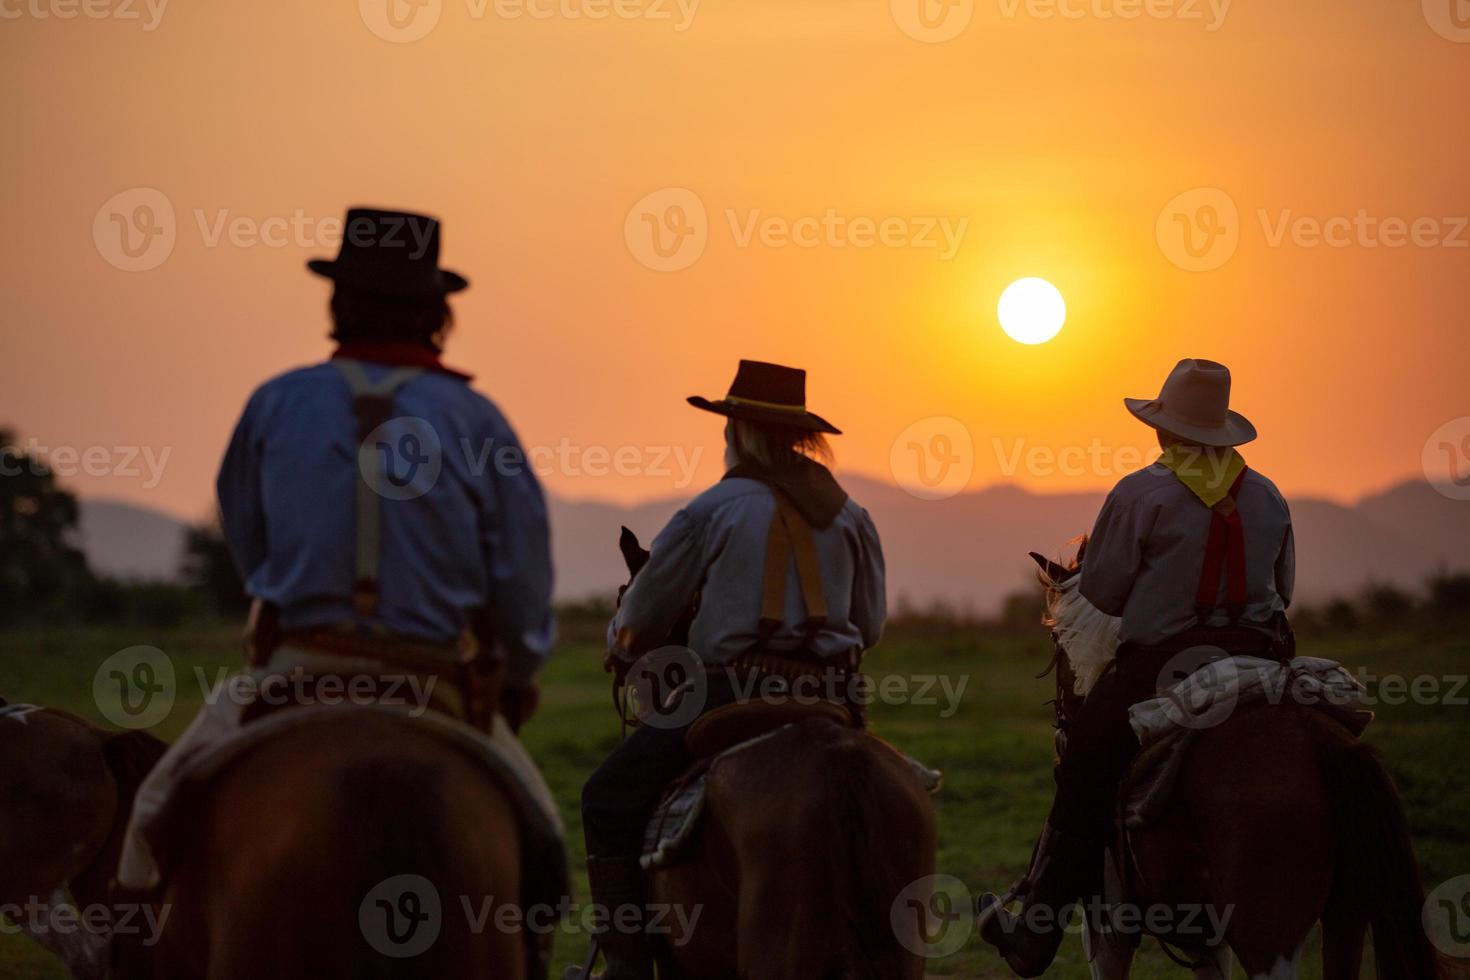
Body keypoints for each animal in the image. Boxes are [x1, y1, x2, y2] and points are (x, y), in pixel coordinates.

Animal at [1029, 549, 1440, 975]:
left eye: (1056, 641)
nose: (1062, 730)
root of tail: (1322, 741)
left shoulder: (1108, 930)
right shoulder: (1206, 937)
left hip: (1267, 940)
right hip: (1346, 917)